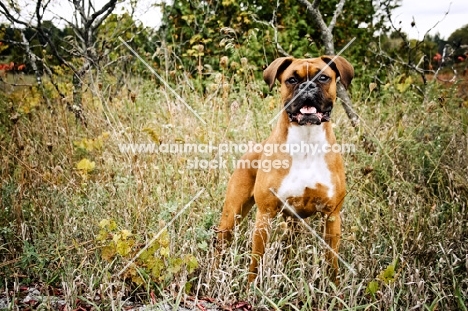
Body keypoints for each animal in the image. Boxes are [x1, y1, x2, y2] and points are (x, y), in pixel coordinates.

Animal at [218, 55, 352, 282]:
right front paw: (252, 286)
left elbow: (331, 260)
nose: (307, 86)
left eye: (323, 77)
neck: (306, 142)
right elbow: (256, 261)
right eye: (292, 80)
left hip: (293, 222)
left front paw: (333, 286)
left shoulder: (332, 216)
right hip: (231, 217)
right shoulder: (264, 215)